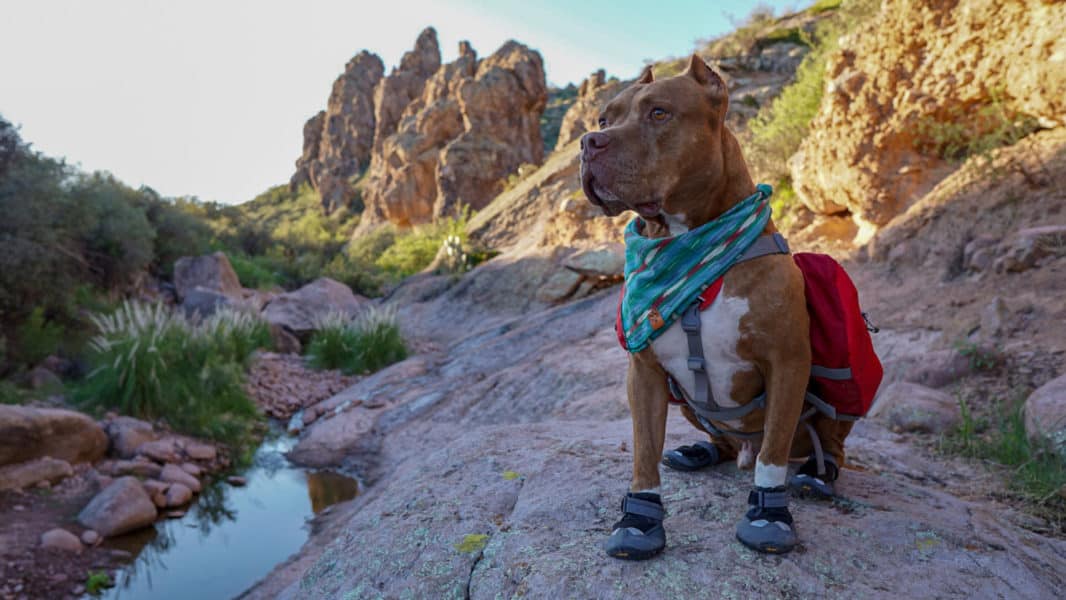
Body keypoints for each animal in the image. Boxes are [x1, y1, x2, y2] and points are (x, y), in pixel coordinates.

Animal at [579, 55, 818, 558]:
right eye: (605, 119)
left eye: (659, 113)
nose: (588, 143)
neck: (689, 247)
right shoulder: (645, 373)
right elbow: (644, 451)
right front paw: (639, 518)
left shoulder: (789, 362)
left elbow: (773, 451)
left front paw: (769, 513)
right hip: (690, 405)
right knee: (719, 439)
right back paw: (700, 451)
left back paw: (820, 475)